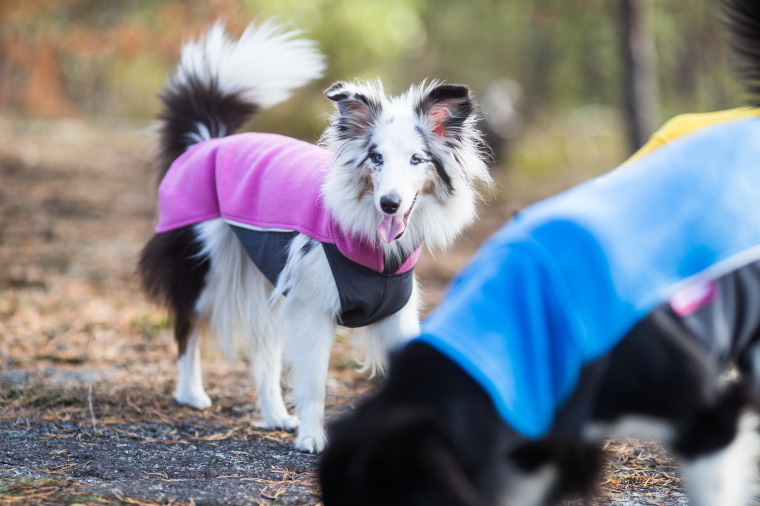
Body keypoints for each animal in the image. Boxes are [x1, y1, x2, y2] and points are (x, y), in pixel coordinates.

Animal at [139, 21, 490, 452]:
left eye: (416, 160)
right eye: (376, 158)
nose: (390, 203)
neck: (374, 248)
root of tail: (207, 140)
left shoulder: (397, 312)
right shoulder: (312, 309)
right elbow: (314, 382)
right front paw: (311, 437)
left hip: (267, 284)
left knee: (263, 353)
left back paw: (275, 415)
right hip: (203, 268)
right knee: (187, 327)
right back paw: (192, 393)